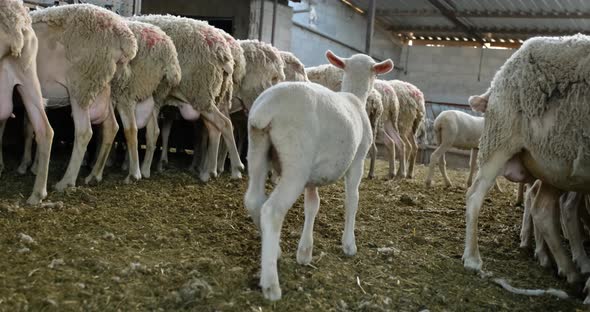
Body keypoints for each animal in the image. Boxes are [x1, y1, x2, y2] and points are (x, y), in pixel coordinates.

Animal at [29, 3, 139, 193]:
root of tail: (125, 37)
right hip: (110, 87)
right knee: (118, 127)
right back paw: (101, 175)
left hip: (81, 84)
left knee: (84, 132)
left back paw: (66, 181)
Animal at [132, 14, 245, 180]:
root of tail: (223, 51)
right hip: (214, 96)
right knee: (216, 128)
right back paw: (210, 172)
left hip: (199, 92)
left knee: (223, 124)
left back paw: (233, 168)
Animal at [245, 50, 394, 300]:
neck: (355, 96)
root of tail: (265, 110)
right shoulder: (357, 160)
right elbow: (352, 200)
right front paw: (349, 245)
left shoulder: (312, 178)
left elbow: (313, 205)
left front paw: (305, 252)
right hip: (296, 164)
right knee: (272, 211)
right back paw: (271, 284)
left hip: (258, 149)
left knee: (253, 200)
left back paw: (275, 251)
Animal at [462, 35, 590, 288]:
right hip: (500, 139)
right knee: (475, 195)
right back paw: (472, 258)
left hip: (555, 165)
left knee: (543, 209)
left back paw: (570, 270)